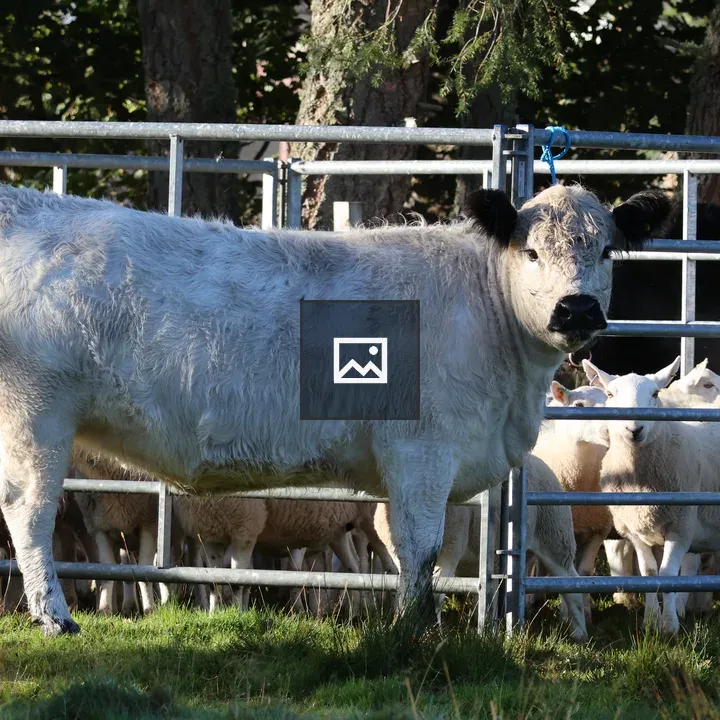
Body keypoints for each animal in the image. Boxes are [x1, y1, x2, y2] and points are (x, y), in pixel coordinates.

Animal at [0, 182, 667, 636]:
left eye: (607, 251)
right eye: (530, 252)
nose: (576, 309)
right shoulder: (422, 451)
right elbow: (419, 549)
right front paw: (413, 633)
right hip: (37, 412)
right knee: (29, 513)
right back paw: (55, 619)